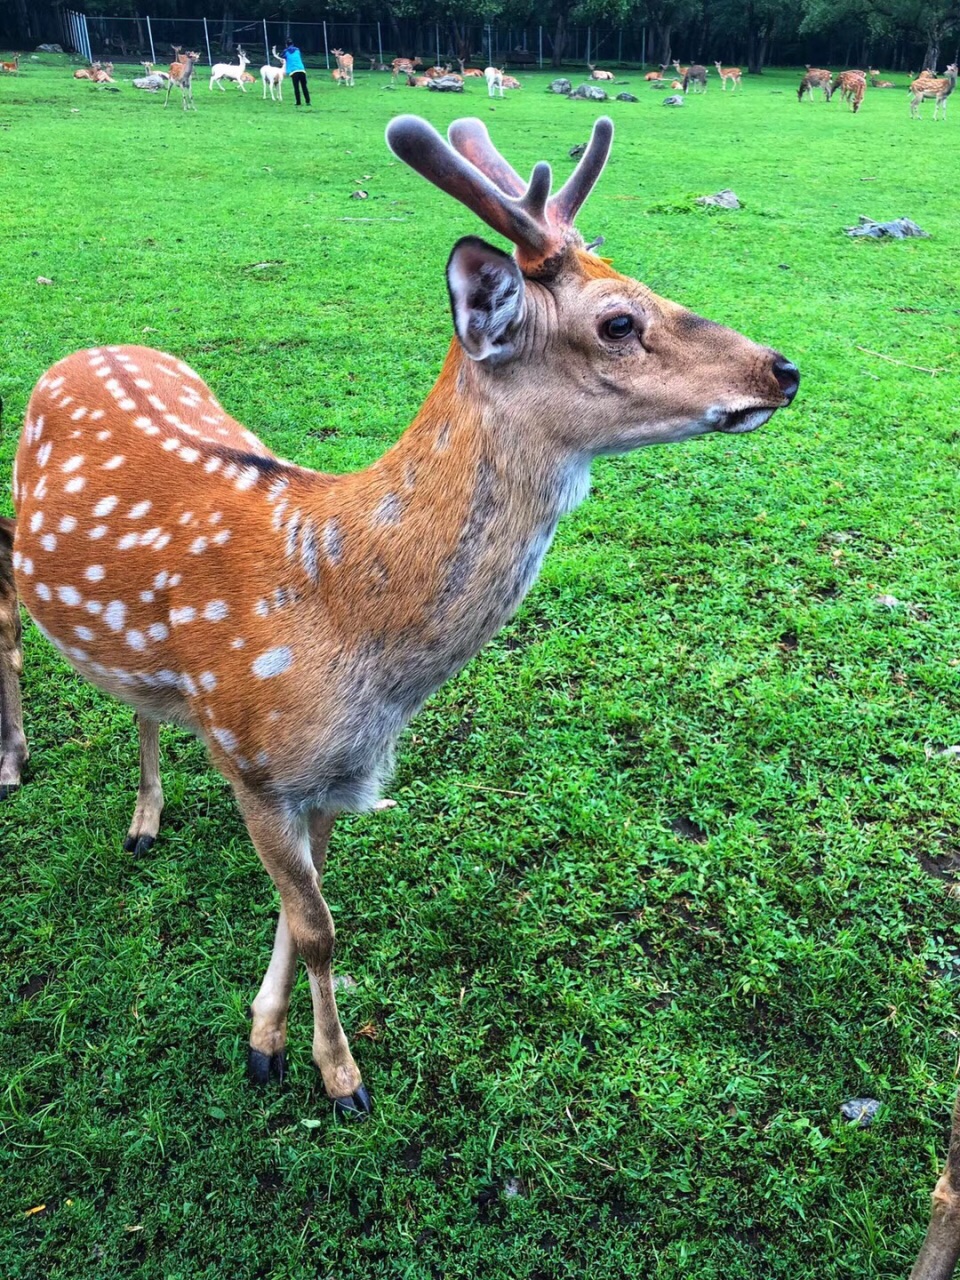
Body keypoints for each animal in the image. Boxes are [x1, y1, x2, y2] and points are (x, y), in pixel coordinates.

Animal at [0, 120, 798, 1121]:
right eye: (618, 322)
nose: (783, 368)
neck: (355, 643)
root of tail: (86, 350)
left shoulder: (334, 776)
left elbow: (305, 910)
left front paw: (269, 1040)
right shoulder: (255, 762)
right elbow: (319, 928)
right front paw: (339, 1078)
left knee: (139, 698)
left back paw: (146, 818)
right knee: (10, 631)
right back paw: (14, 762)